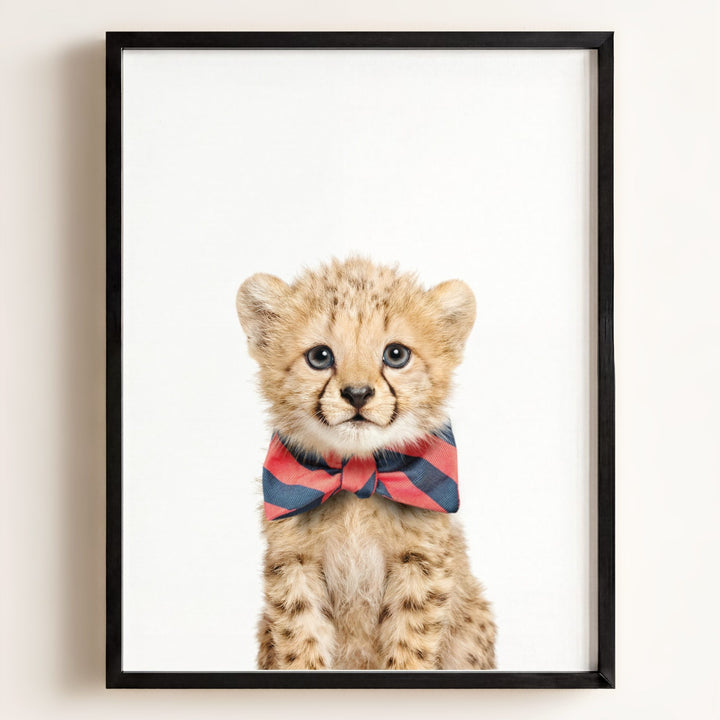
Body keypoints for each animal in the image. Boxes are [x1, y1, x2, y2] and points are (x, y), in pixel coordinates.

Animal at [236, 256, 495, 670]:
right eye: (320, 356)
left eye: (396, 355)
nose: (357, 394)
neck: (358, 473)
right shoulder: (294, 564)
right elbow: (300, 643)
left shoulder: (420, 564)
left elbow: (409, 646)